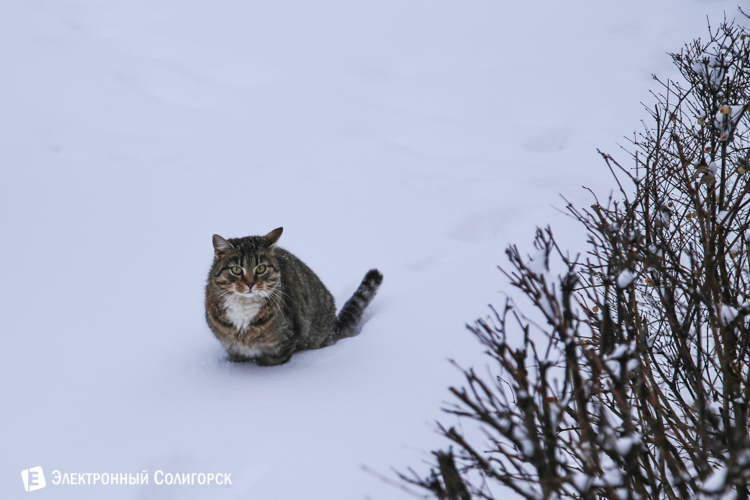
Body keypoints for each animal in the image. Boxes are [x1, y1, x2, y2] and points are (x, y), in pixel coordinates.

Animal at [204, 229, 384, 366]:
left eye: (261, 268)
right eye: (236, 269)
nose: (250, 283)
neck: (243, 308)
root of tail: (332, 327)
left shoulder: (283, 343)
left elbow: (274, 363)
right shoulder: (233, 347)